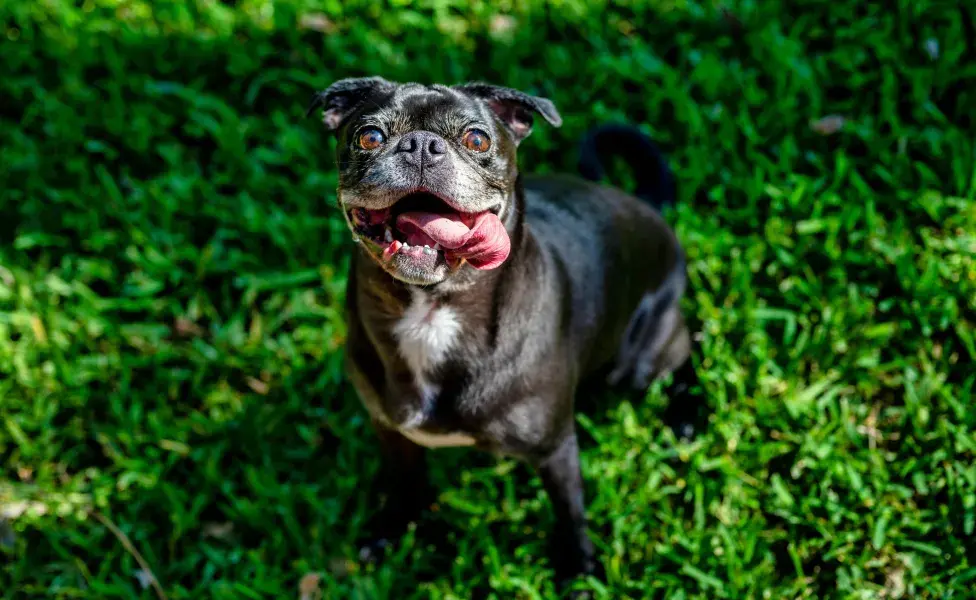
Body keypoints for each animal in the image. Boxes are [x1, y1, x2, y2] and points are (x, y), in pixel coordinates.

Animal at [304, 77, 700, 588]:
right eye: (369, 136)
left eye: (477, 140)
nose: (421, 146)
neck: (433, 310)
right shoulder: (390, 431)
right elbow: (405, 483)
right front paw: (392, 529)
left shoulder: (555, 449)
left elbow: (570, 512)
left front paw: (579, 572)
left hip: (638, 360)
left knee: (685, 350)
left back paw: (688, 415)